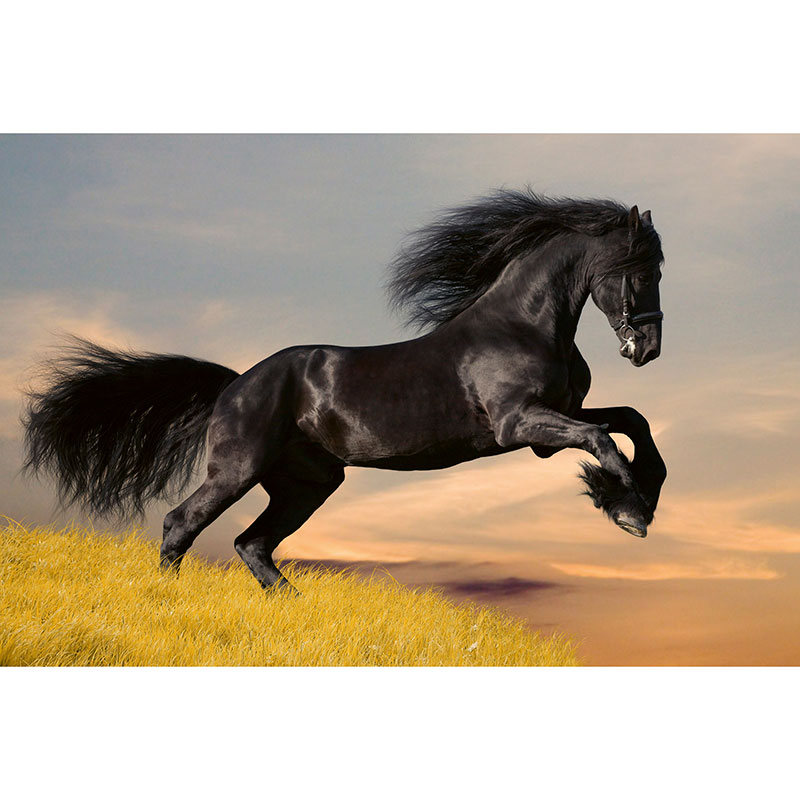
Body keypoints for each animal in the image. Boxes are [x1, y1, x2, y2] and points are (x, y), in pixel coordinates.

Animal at [23, 190, 667, 593]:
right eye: (641, 269)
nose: (648, 348)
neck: (522, 324)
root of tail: (236, 384)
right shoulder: (521, 425)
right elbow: (602, 438)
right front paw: (627, 509)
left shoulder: (553, 422)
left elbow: (631, 421)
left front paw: (638, 496)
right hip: (238, 469)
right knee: (181, 523)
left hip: (307, 483)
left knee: (252, 543)